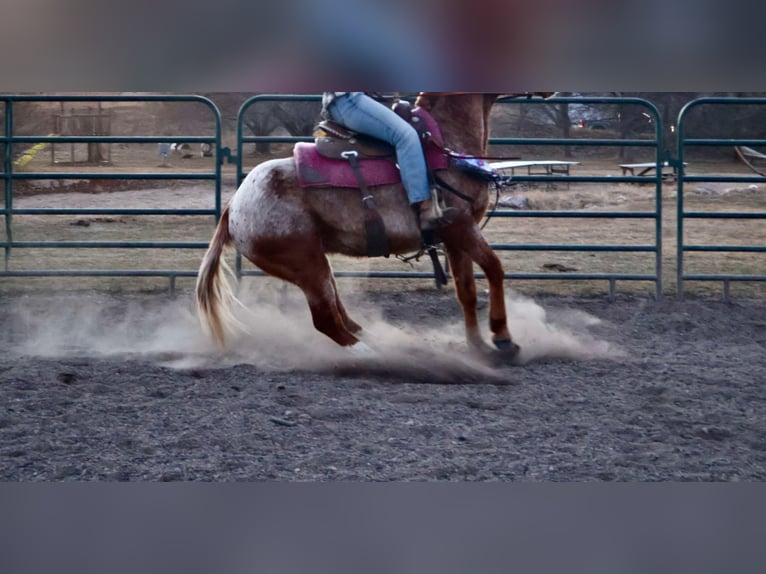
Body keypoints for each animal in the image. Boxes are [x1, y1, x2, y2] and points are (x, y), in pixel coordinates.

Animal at [196, 92, 552, 358]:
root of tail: (234, 205)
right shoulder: (462, 227)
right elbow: (494, 268)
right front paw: (503, 338)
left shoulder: (454, 237)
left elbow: (466, 289)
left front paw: (478, 345)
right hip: (304, 263)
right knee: (325, 320)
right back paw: (374, 355)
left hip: (314, 264)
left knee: (337, 311)